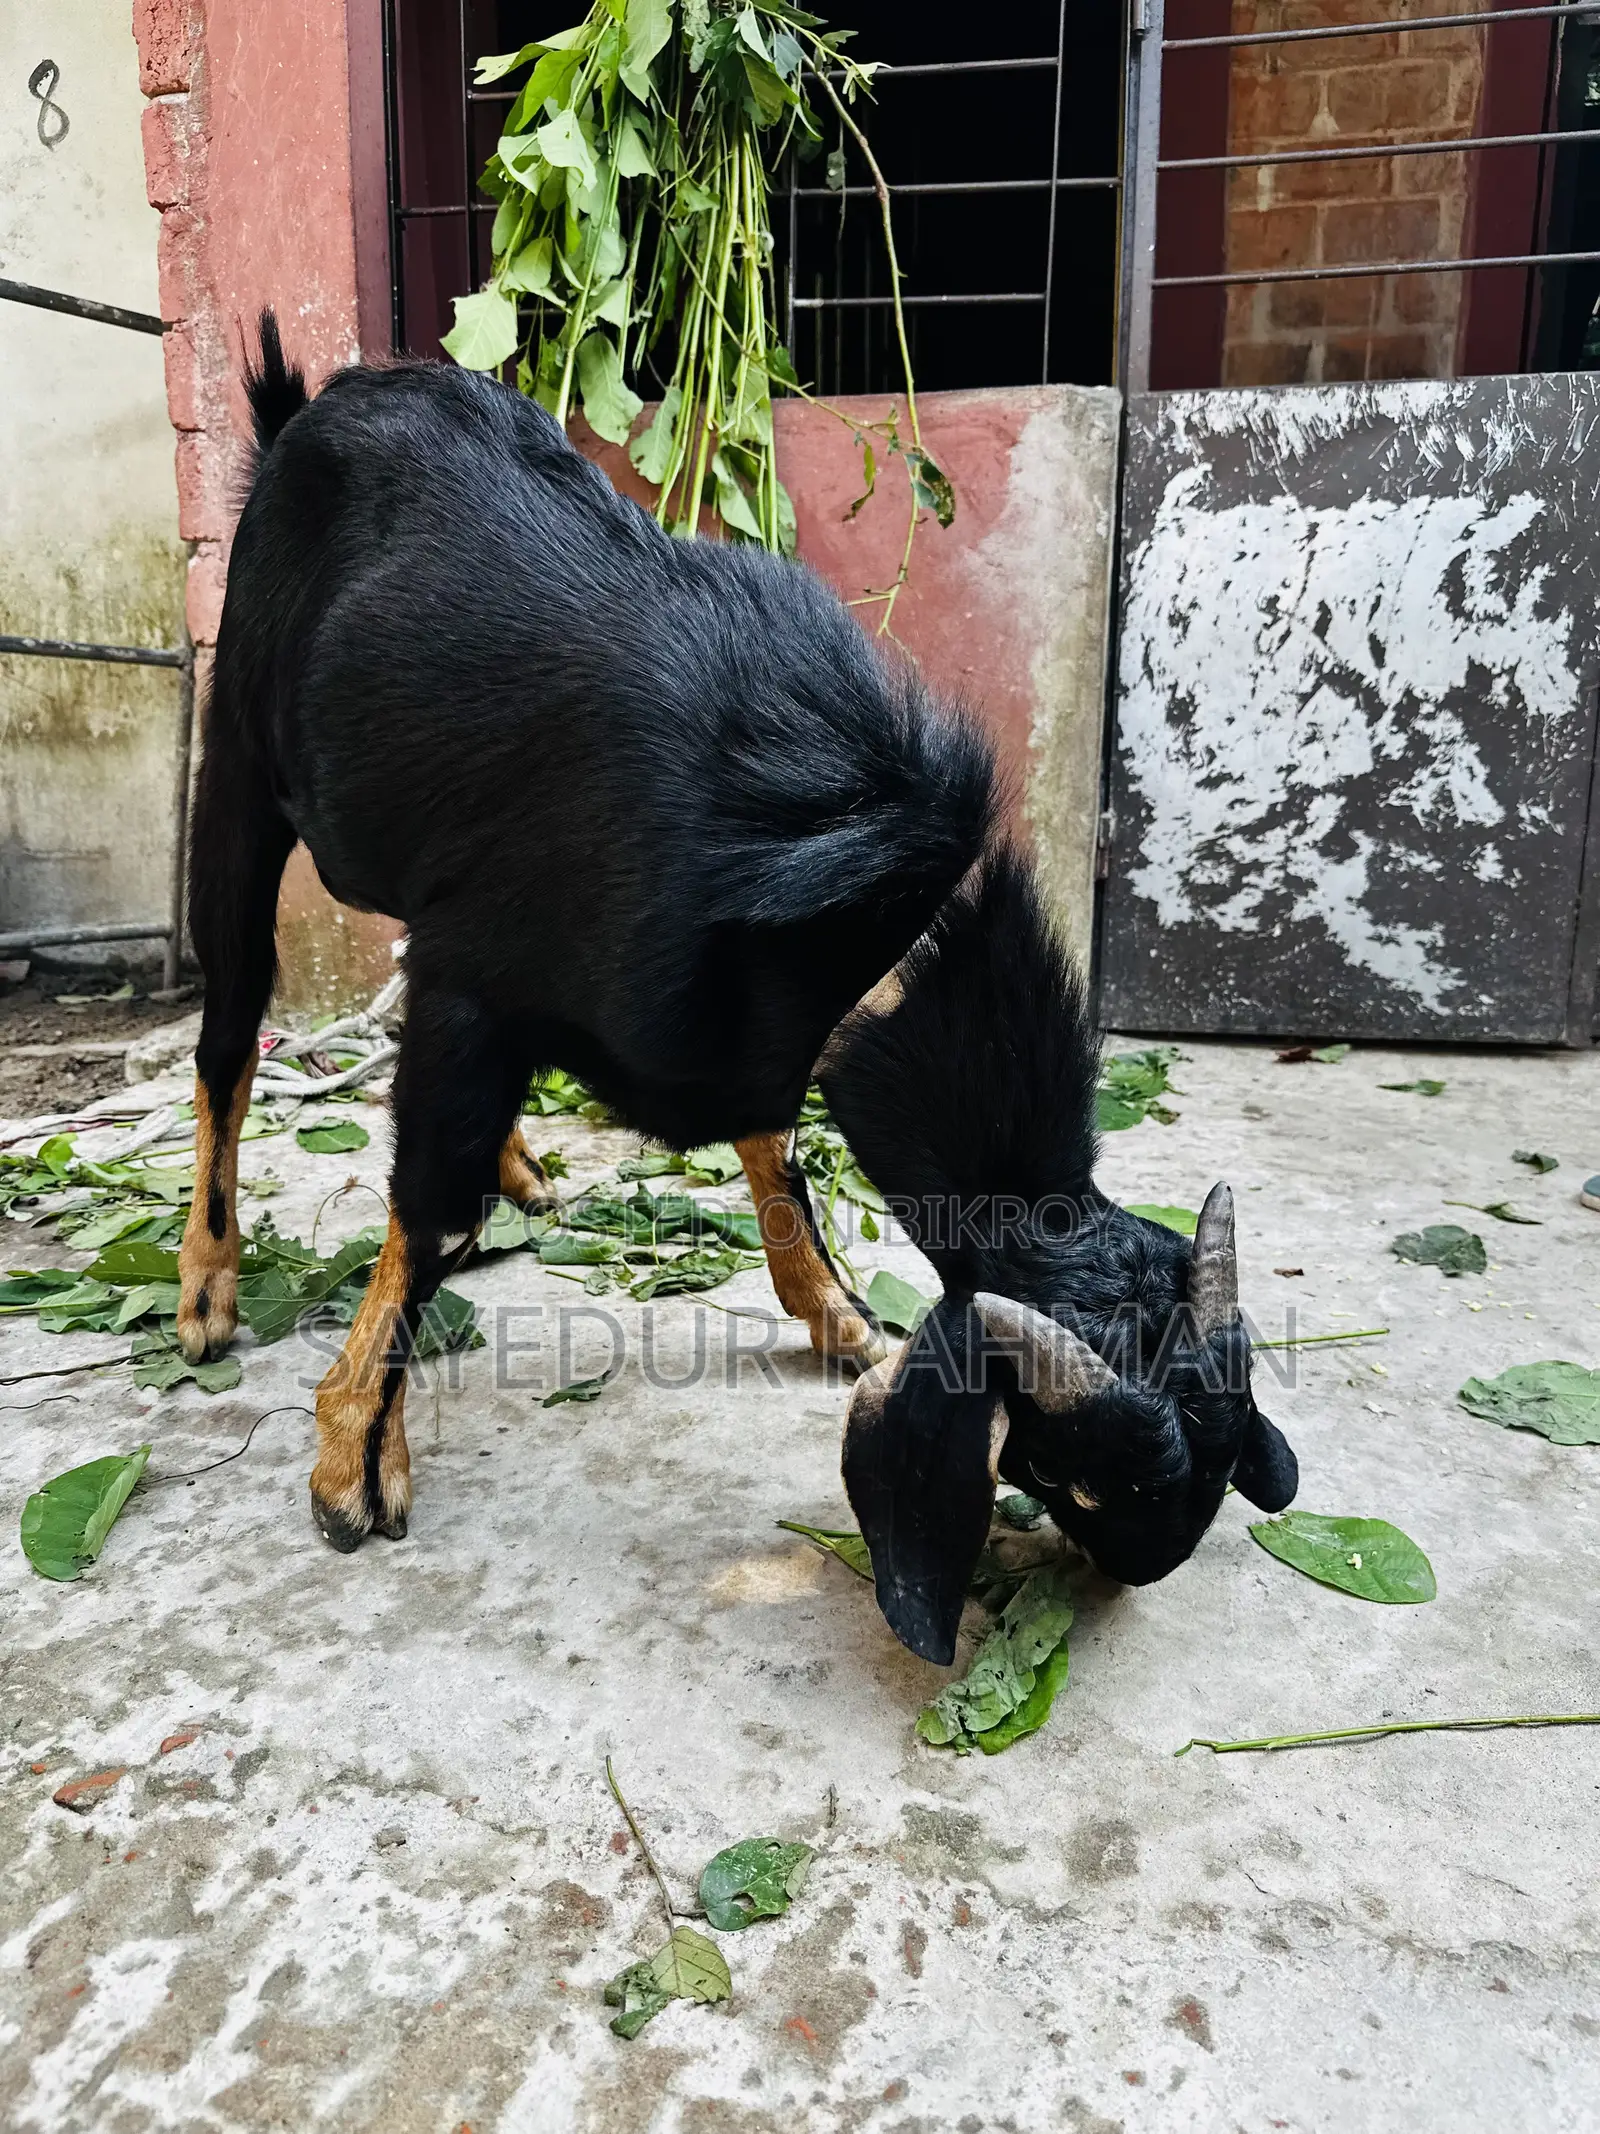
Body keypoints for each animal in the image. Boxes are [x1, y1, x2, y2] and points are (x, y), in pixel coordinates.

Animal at [179, 315, 1296, 1659]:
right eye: (1078, 1474)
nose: (1148, 1563)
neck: (864, 897)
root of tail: (303, 405)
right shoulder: (475, 976)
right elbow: (432, 1213)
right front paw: (353, 1462)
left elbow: (772, 1135)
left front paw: (832, 1306)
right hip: (238, 753)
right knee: (229, 1027)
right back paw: (206, 1286)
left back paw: (521, 1161)